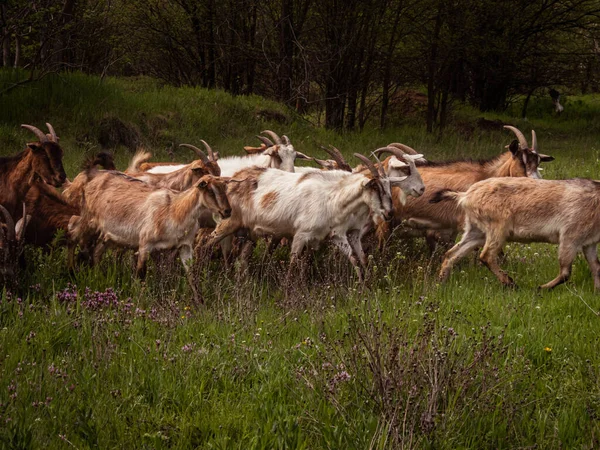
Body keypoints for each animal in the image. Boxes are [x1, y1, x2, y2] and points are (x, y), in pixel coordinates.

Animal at [434, 178, 600, 290]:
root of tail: (465, 196)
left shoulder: (589, 242)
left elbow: (596, 267)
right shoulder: (570, 236)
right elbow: (566, 272)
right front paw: (540, 288)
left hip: (476, 231)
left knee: (452, 254)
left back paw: (441, 284)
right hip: (498, 227)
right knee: (486, 255)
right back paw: (511, 283)